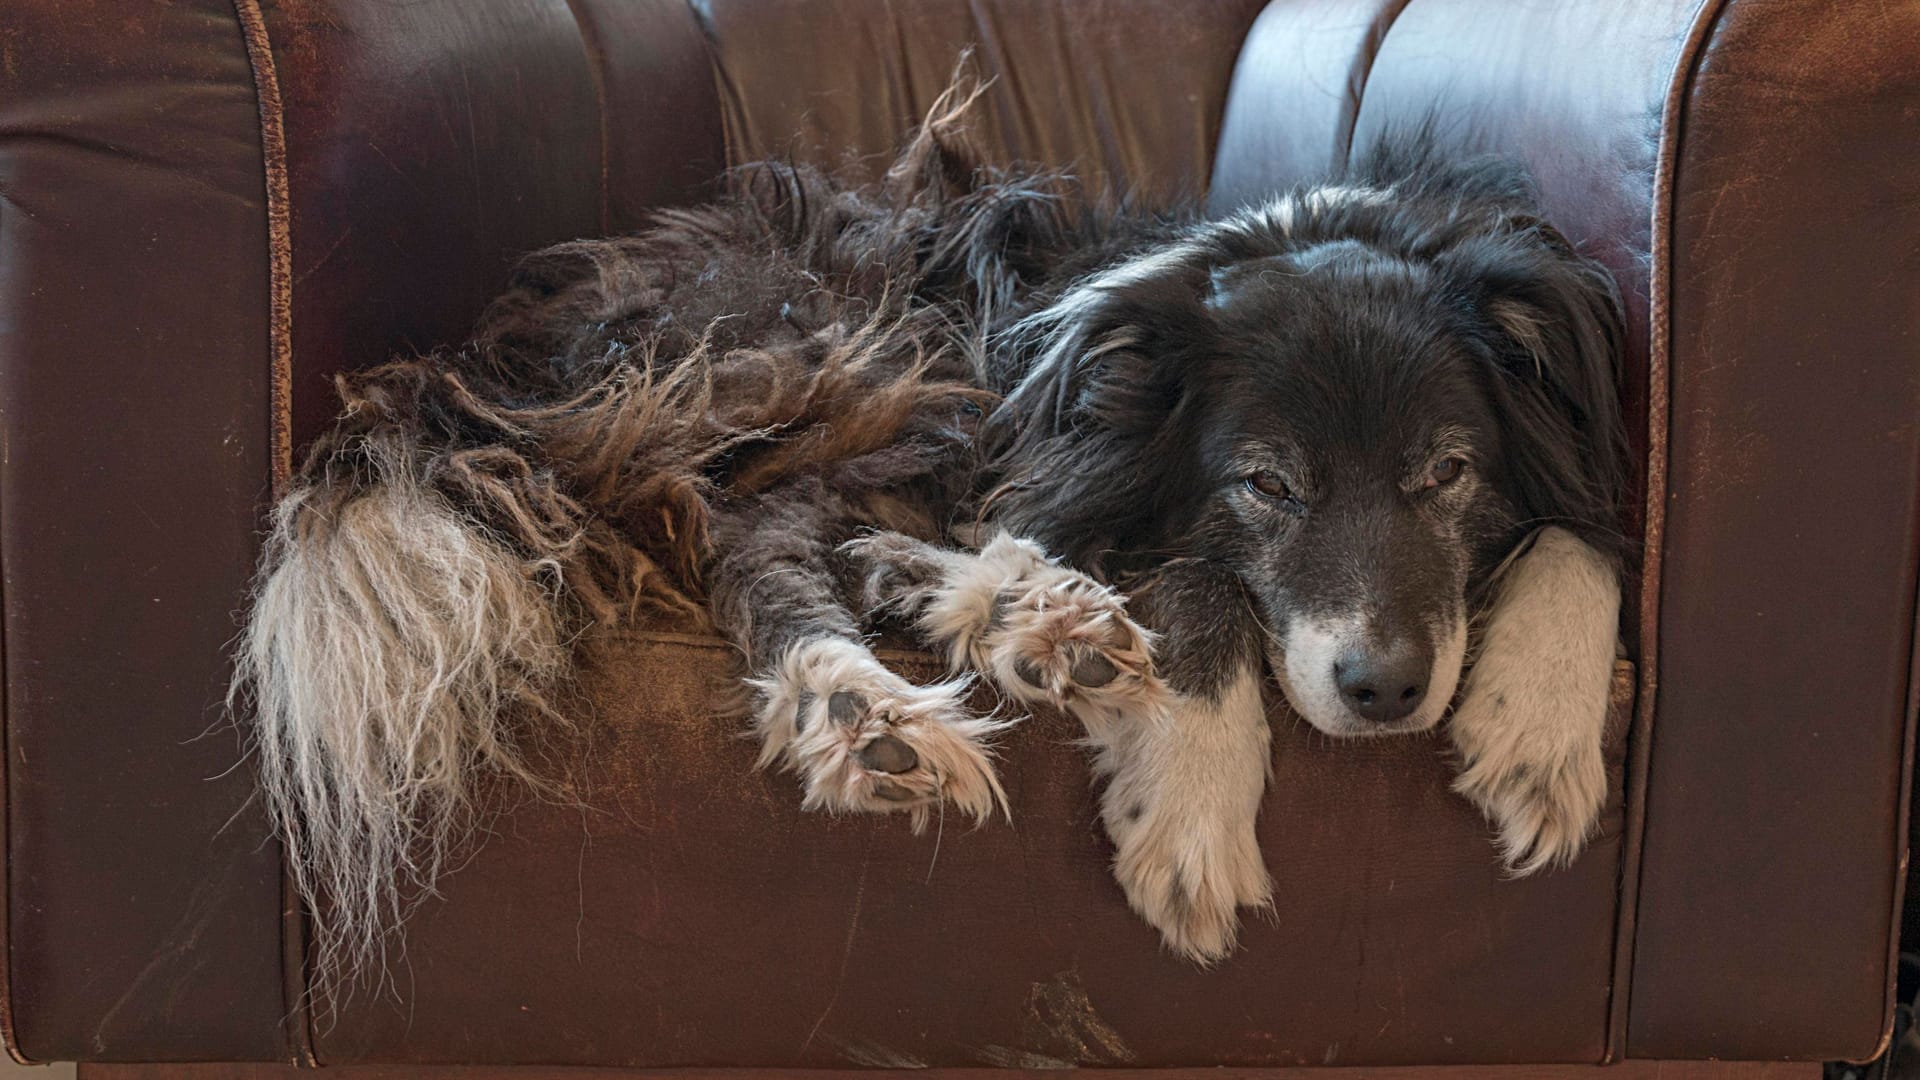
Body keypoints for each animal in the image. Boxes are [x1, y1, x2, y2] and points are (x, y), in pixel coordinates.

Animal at [232, 90, 1628, 983]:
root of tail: (502, 356)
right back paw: (867, 703)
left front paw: (1542, 733)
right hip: (860, 345)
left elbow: (1584, 538)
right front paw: (1190, 808)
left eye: (1447, 473)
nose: (1387, 692)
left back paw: (1020, 622)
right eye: (1265, 485)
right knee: (753, 530)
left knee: (829, 528)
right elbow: (1195, 582)